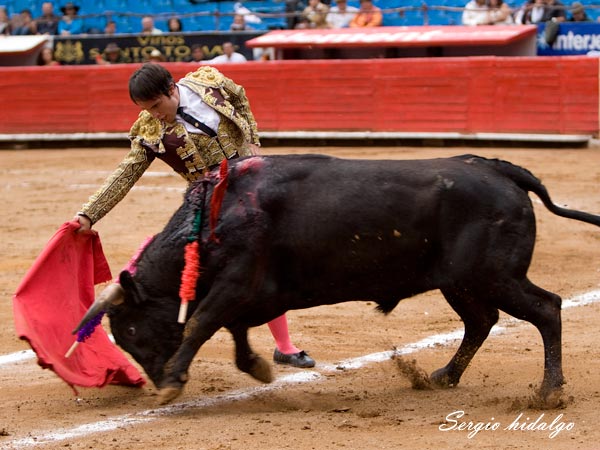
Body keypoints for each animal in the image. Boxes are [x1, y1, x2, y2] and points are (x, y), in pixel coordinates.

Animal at [75, 153, 600, 406]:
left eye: (133, 330)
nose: (156, 377)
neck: (214, 219)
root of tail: (498, 169)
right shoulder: (252, 293)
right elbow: (234, 330)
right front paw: (258, 367)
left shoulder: (236, 282)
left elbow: (203, 322)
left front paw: (175, 384)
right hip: (462, 283)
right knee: (481, 321)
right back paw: (443, 377)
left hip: (492, 276)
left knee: (546, 308)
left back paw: (549, 392)